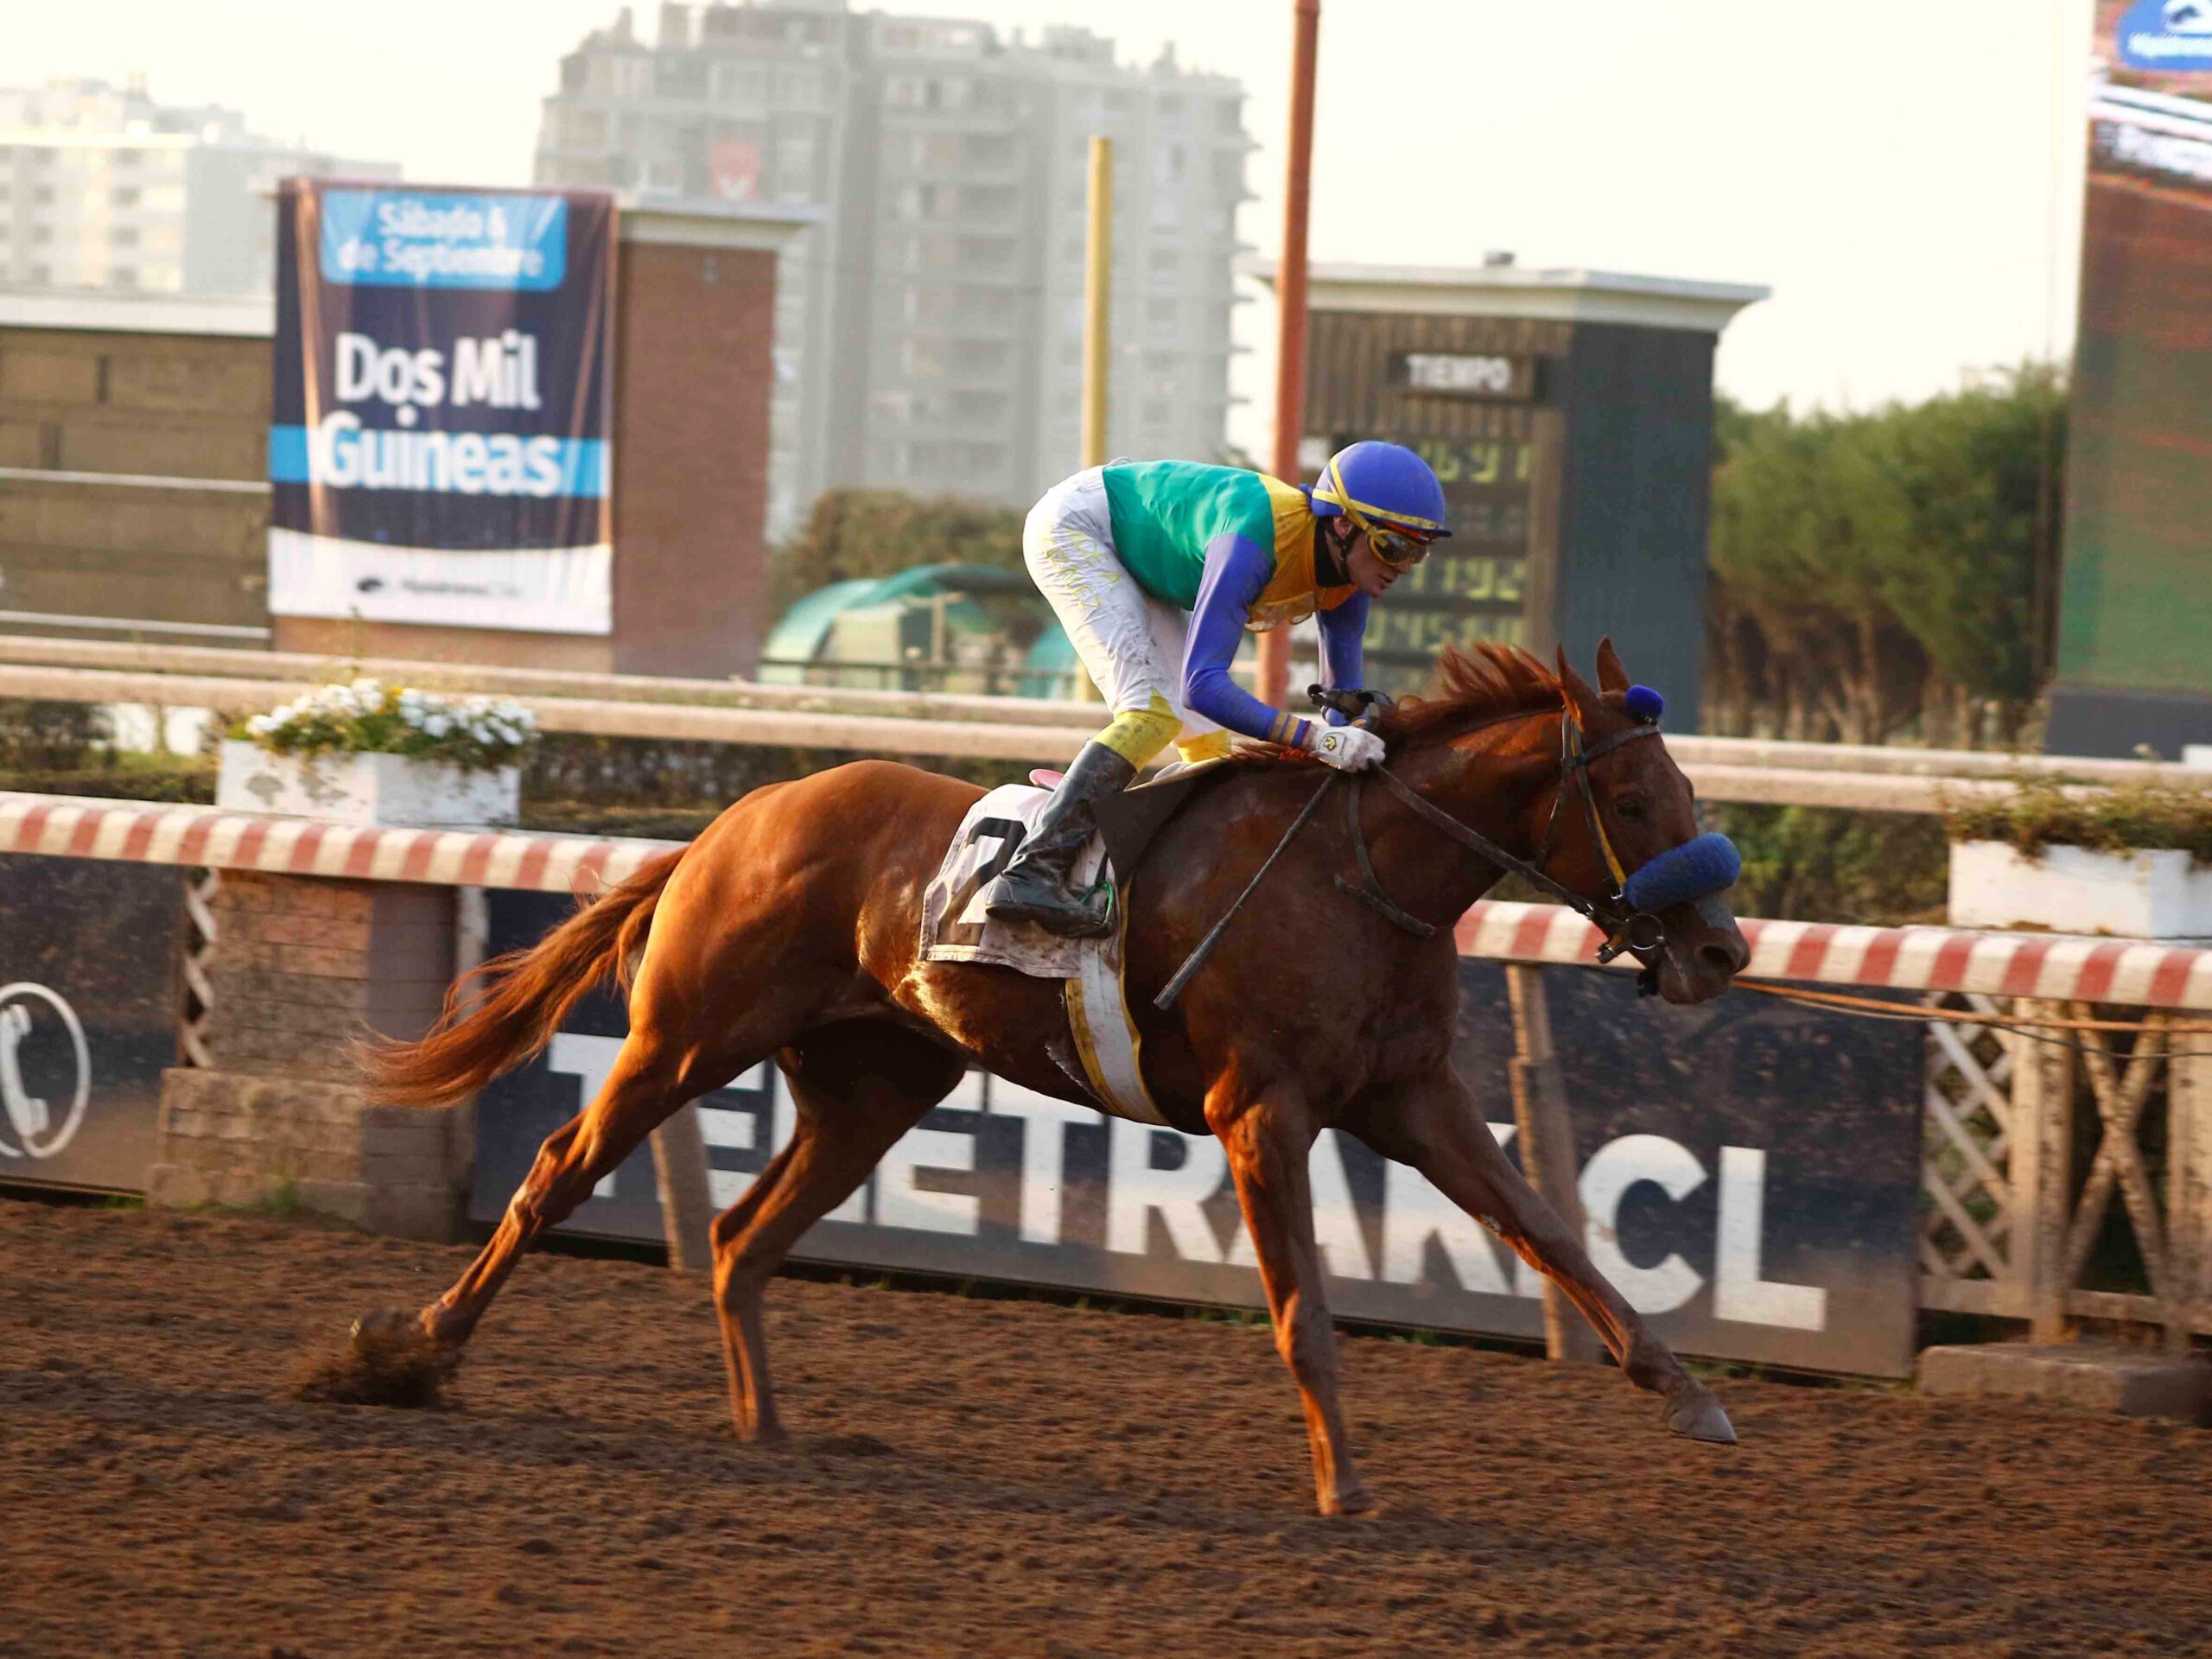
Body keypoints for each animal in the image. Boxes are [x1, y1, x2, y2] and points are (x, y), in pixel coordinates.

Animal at [363, 639, 1751, 1516]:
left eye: (1688, 786)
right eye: (1635, 798)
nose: (1722, 950)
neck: (1362, 875)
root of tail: (734, 820)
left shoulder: (1412, 1098)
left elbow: (1550, 1231)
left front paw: (1690, 1397)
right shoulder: (1262, 1113)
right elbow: (1304, 1306)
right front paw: (1344, 1481)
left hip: (875, 1088)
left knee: (741, 1234)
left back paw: (768, 1430)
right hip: (687, 1036)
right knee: (555, 1174)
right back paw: (417, 1353)